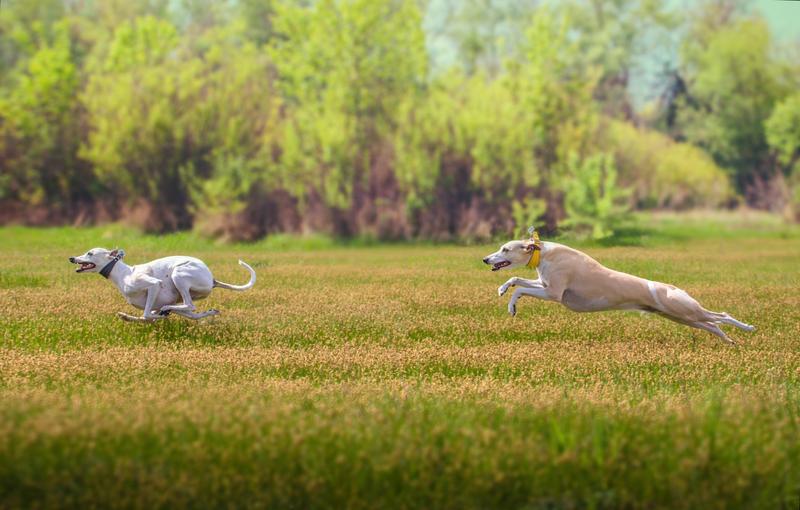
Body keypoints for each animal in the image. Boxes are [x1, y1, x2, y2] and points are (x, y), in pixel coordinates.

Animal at [70, 248, 256, 322]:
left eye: (90, 253)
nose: (71, 258)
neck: (123, 273)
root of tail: (212, 279)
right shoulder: (153, 304)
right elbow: (145, 317)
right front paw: (126, 317)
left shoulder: (153, 285)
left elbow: (146, 315)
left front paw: (160, 316)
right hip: (182, 292)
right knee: (192, 313)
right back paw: (208, 312)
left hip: (179, 275)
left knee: (190, 306)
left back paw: (167, 310)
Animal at [482, 232, 756, 346]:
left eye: (505, 249)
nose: (485, 259)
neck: (543, 253)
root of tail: (671, 287)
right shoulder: (544, 284)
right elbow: (516, 279)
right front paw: (503, 291)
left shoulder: (553, 294)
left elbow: (520, 288)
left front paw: (512, 305)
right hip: (682, 317)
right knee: (713, 326)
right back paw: (730, 341)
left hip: (685, 311)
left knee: (720, 316)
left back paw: (747, 327)